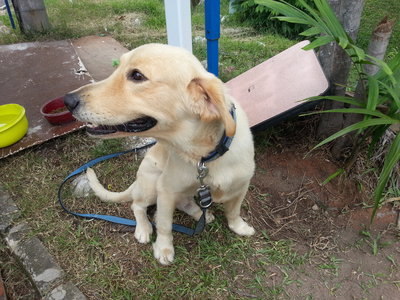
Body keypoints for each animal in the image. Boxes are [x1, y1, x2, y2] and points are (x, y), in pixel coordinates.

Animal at [64, 43, 255, 264]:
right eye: (118, 68)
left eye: (137, 75)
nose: (67, 100)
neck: (203, 156)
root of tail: (137, 182)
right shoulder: (166, 189)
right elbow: (164, 225)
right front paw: (163, 248)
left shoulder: (242, 186)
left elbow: (234, 212)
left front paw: (239, 227)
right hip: (151, 183)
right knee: (137, 206)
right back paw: (144, 228)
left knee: (184, 202)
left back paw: (202, 214)